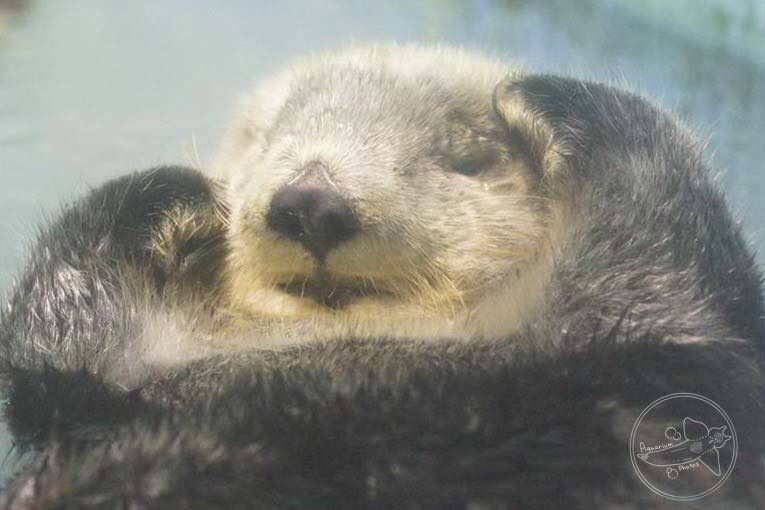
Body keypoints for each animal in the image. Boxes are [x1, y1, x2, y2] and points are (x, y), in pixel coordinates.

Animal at [1, 45, 763, 508]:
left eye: (465, 157)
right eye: (263, 140)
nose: (310, 202)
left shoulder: (661, 340)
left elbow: (667, 236)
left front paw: (537, 93)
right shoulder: (93, 397)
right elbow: (55, 342)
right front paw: (174, 194)